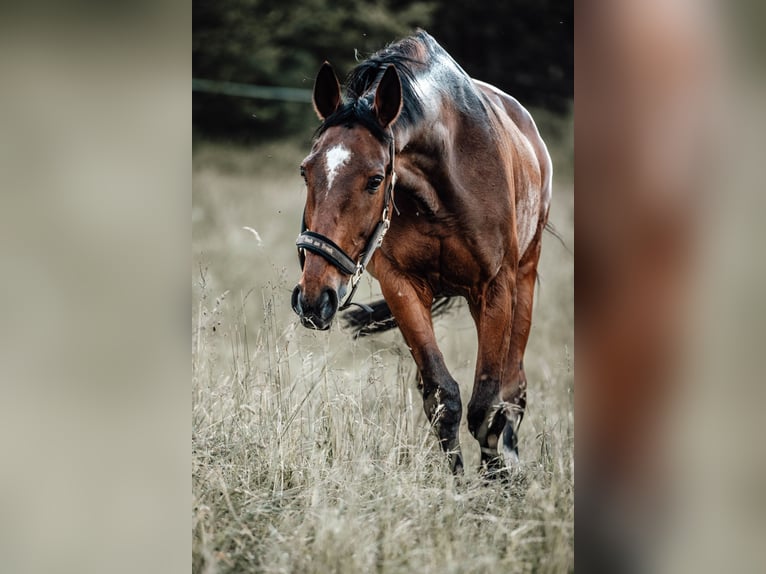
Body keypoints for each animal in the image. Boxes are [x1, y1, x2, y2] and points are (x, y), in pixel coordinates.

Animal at [291, 30, 552, 474]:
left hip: (524, 277)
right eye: (307, 171)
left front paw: (496, 479)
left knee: (512, 390)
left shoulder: (495, 288)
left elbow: (487, 406)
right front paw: (457, 483)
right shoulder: (402, 286)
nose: (314, 298)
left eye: (375, 179)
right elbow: (442, 396)